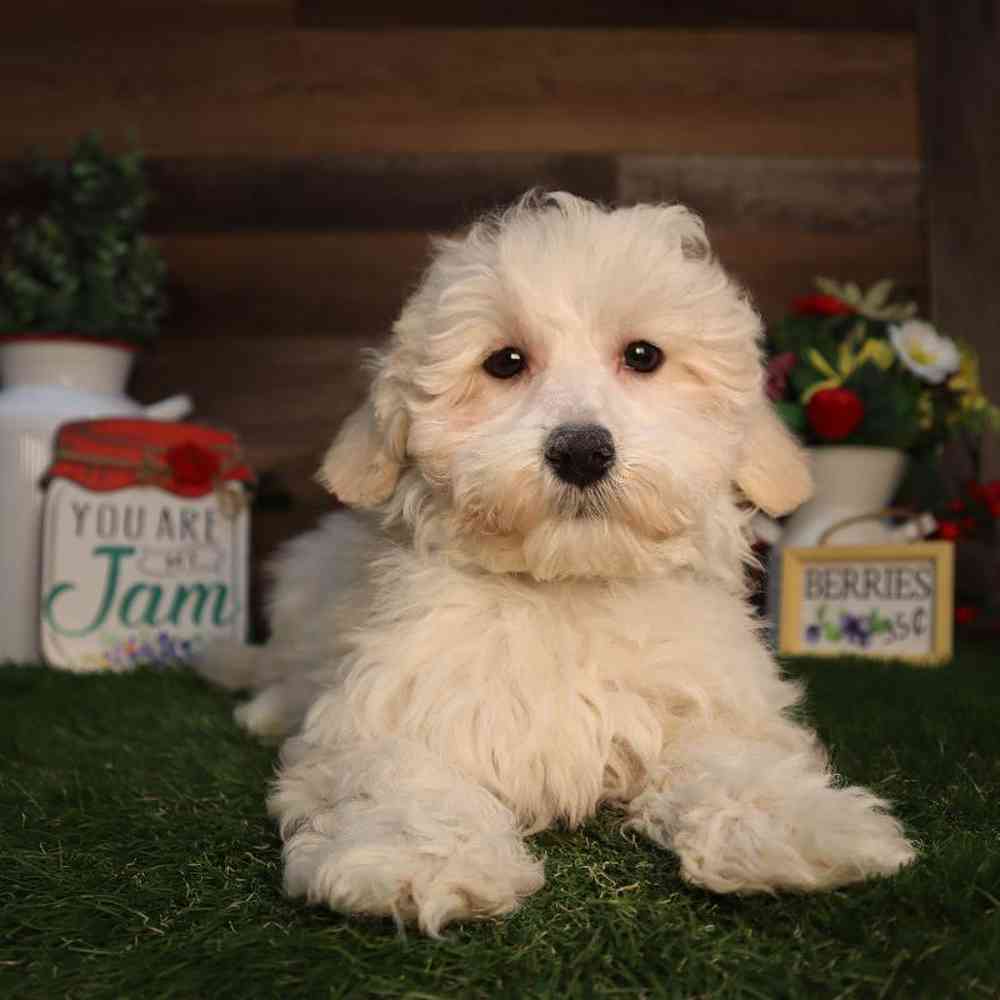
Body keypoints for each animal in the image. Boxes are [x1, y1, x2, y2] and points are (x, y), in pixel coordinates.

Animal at [201, 191, 916, 932]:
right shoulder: (401, 703)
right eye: (505, 362)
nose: (581, 451)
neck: (570, 586)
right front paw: (415, 858)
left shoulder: (709, 701)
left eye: (643, 355)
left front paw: (797, 824)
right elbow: (399, 773)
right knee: (285, 674)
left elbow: (736, 758)